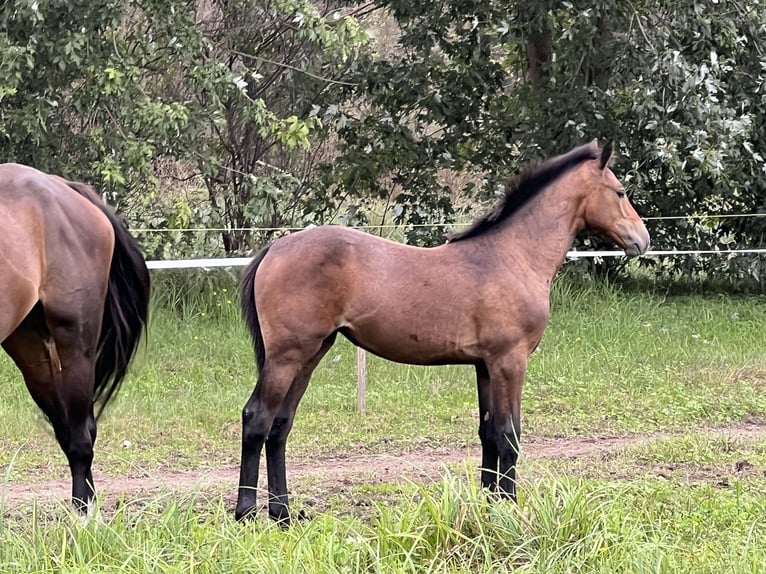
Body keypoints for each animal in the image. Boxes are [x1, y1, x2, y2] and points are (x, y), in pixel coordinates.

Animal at [0, 164, 150, 516]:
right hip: (30, 349)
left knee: (82, 434)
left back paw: (84, 515)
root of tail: (64, 187)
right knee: (69, 428)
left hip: (75, 340)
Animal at [237, 142, 652, 524]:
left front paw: (490, 508)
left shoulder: (485, 366)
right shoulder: (510, 361)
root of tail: (276, 246)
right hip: (287, 355)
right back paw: (246, 513)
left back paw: (283, 515)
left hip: (311, 353)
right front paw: (511, 509)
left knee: (280, 425)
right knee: (257, 418)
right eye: (620, 191)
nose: (642, 240)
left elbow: (489, 433)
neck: (512, 256)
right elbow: (510, 435)